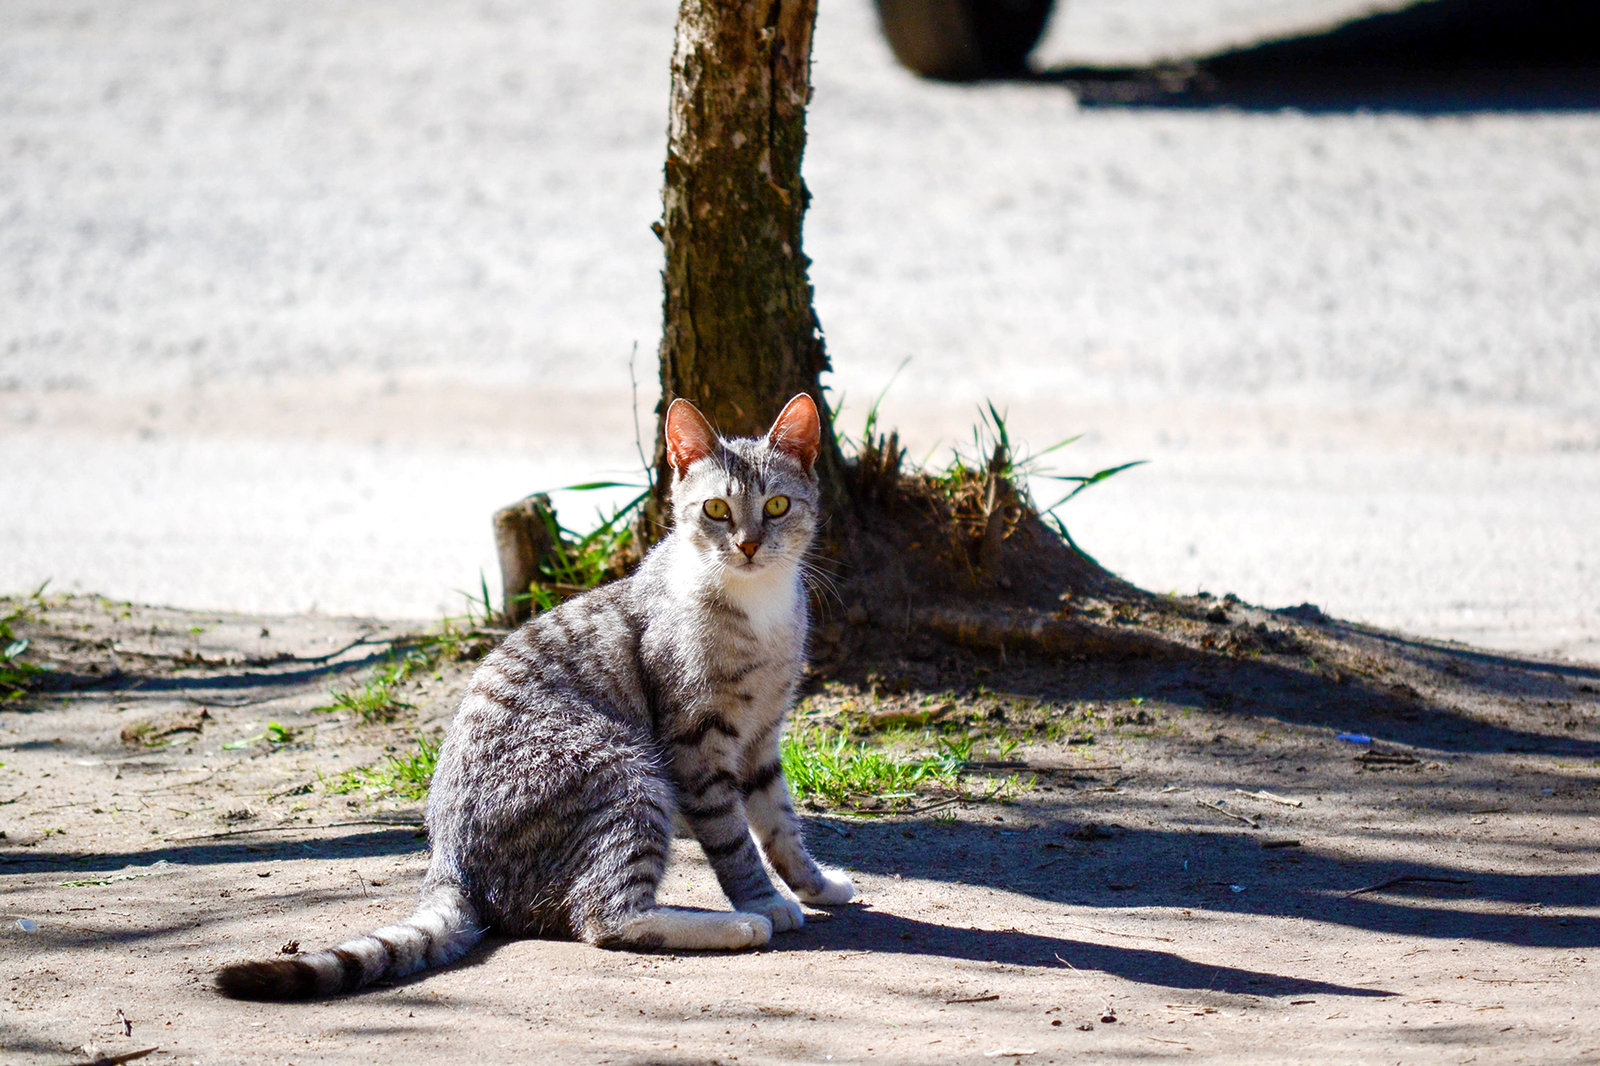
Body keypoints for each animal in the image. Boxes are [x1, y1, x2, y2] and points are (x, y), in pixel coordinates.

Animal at [222, 390, 864, 998]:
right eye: (716, 509)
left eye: (777, 506)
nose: (749, 545)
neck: (759, 611)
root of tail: (447, 861)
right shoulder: (697, 745)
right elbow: (734, 842)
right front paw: (763, 901)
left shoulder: (762, 739)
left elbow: (780, 826)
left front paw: (815, 885)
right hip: (625, 773)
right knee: (604, 917)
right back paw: (736, 926)